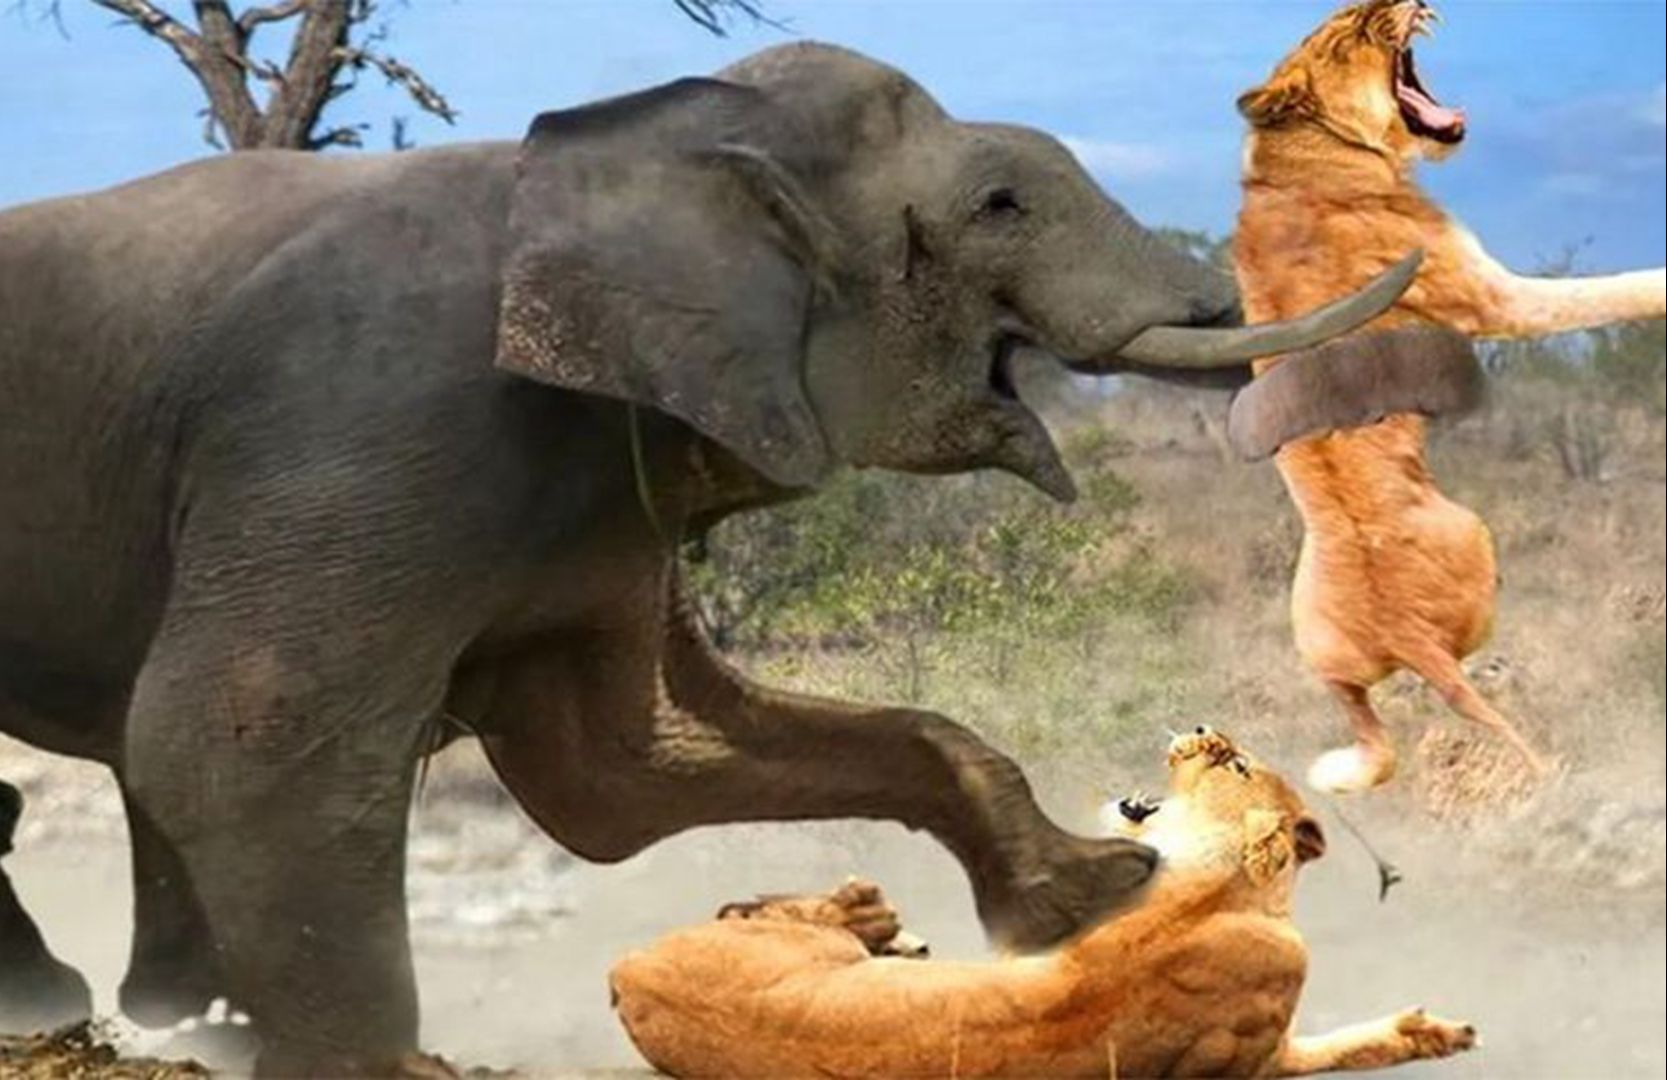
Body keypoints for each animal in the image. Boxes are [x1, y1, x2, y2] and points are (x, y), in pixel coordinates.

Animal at [0, 41, 1468, 1075]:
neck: (638, 148)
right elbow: (235, 744)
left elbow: (619, 774)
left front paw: (1083, 904)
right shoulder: (368, 408)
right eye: (997, 204)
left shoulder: (602, 478)